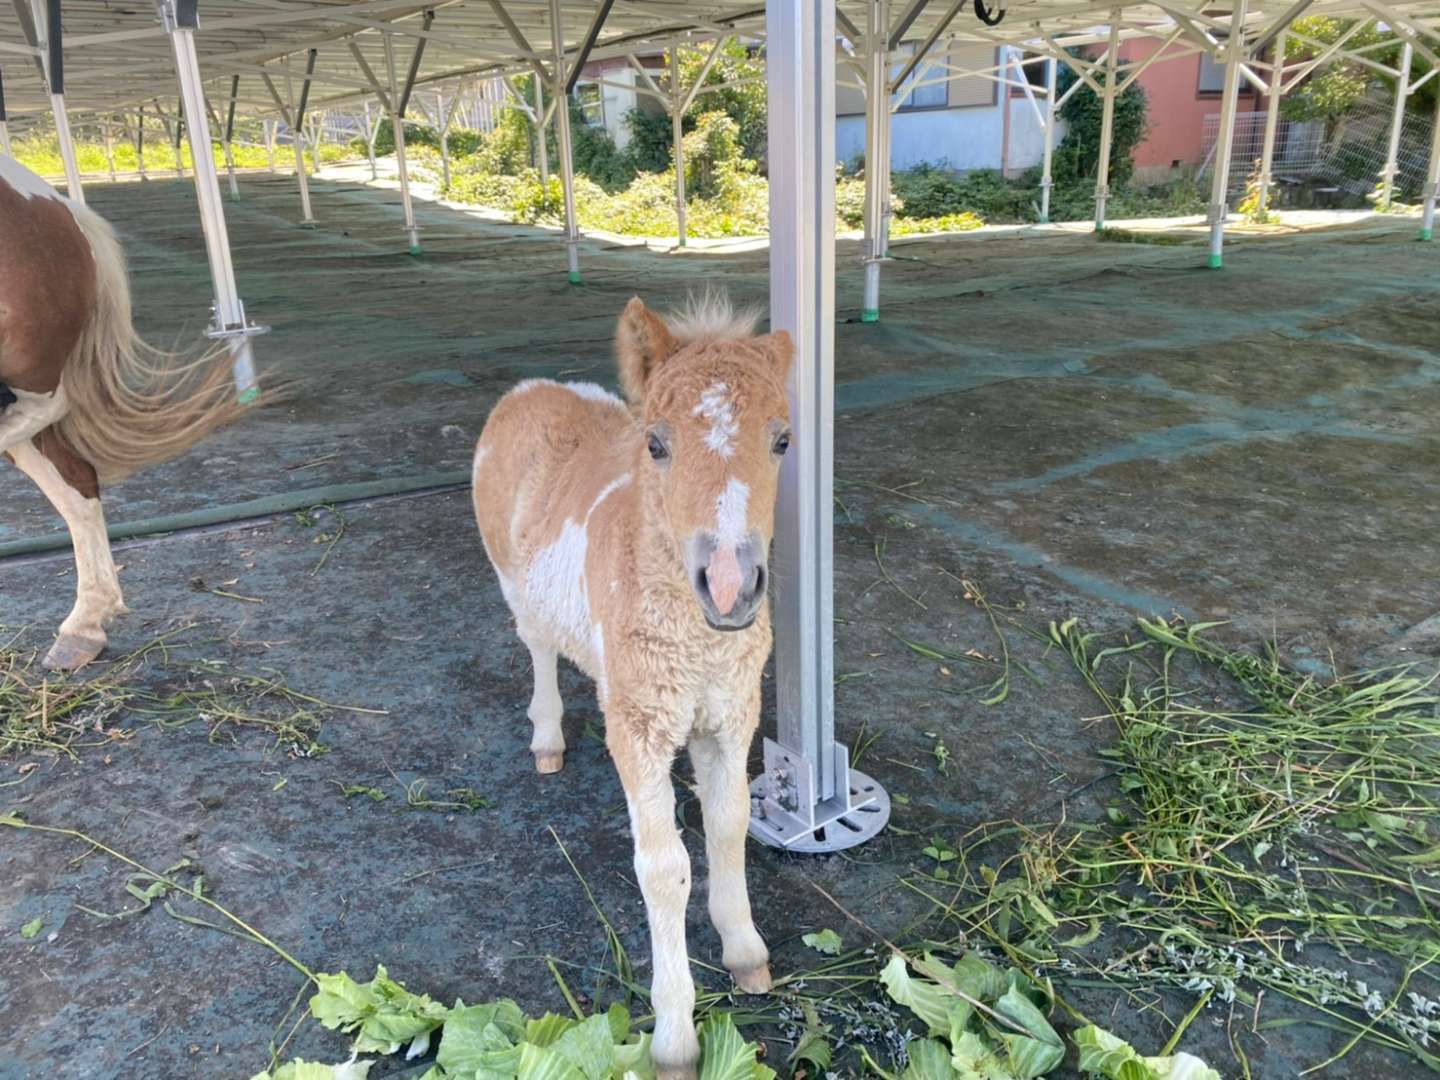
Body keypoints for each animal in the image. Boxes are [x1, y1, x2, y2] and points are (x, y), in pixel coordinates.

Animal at [472, 298, 794, 1080]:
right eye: (655, 444)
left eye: (783, 441)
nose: (731, 588)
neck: (698, 637)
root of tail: (533, 387)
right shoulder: (643, 730)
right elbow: (665, 868)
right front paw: (675, 1036)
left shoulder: (730, 715)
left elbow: (728, 825)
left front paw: (745, 953)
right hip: (512, 584)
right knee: (538, 648)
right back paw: (548, 737)